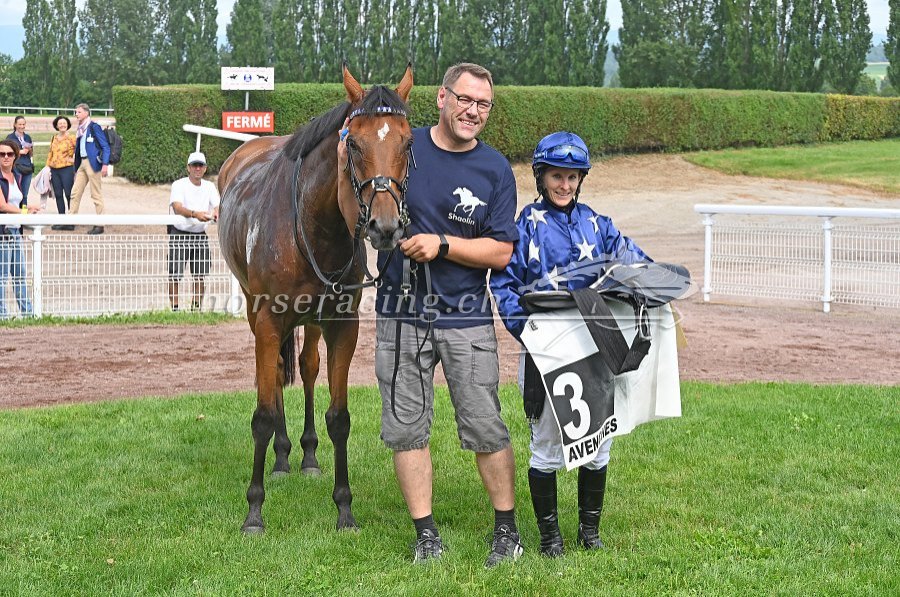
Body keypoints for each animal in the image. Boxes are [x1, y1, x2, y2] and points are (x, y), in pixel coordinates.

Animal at [217, 64, 414, 533]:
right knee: (273, 376)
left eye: (407, 142)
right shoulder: (269, 321)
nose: (385, 226)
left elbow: (339, 417)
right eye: (354, 143)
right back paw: (282, 456)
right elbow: (262, 414)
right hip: (255, 308)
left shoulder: (343, 326)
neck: (314, 225)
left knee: (306, 367)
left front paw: (344, 509)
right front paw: (254, 511)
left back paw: (304, 454)